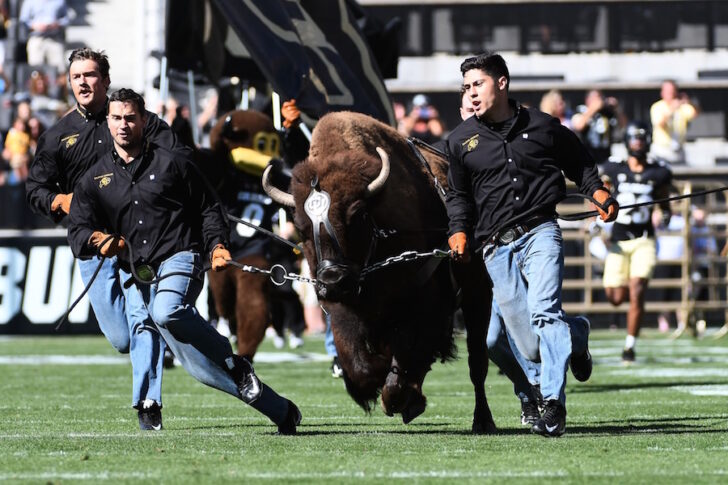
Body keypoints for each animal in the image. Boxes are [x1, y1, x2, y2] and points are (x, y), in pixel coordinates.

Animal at [264, 110, 498, 432]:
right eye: (300, 226)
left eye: (358, 214)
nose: (332, 279)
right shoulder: (342, 312)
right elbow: (359, 365)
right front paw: (388, 391)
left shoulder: (424, 309)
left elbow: (408, 357)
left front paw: (402, 400)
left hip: (477, 295)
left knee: (477, 364)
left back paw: (483, 420)